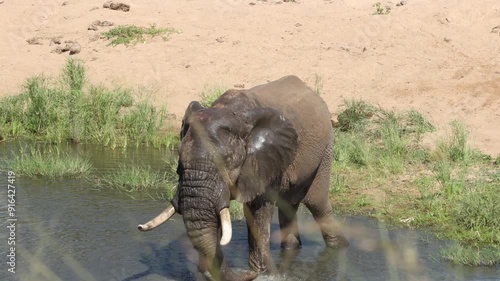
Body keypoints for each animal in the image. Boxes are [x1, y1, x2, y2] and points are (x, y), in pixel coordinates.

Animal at [137, 74, 348, 280]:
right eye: (180, 163)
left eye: (226, 161)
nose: (248, 274)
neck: (229, 111)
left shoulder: (263, 161)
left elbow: (257, 212)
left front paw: (266, 275)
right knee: (289, 207)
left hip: (325, 150)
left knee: (317, 204)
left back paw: (340, 247)